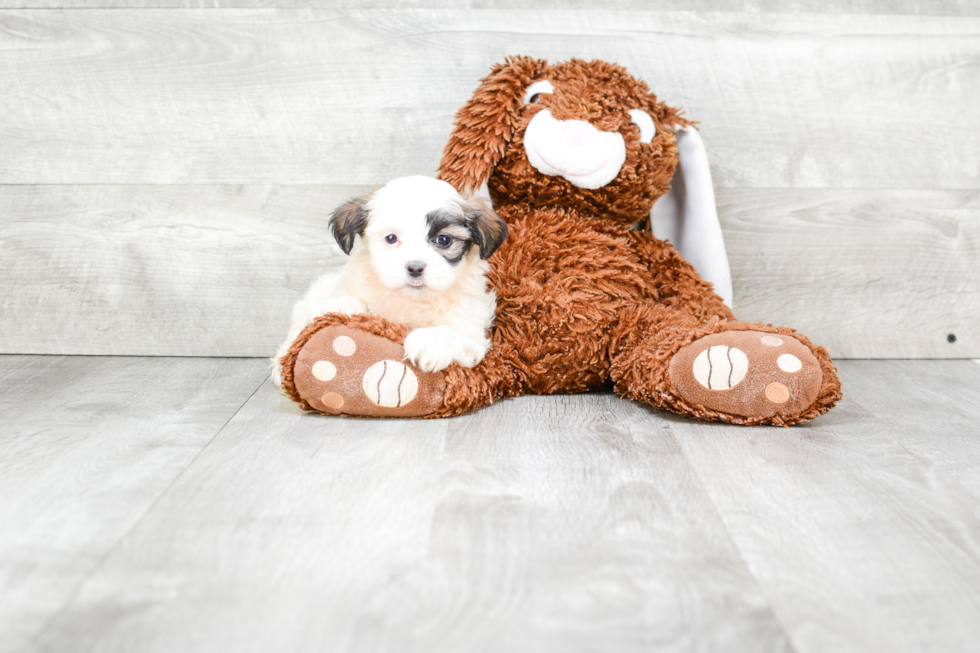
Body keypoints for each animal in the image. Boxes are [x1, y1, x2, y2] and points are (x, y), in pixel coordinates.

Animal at [272, 174, 510, 388]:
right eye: (391, 238)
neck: (411, 300)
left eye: (443, 240)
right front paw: (338, 306)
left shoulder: (473, 324)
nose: (415, 267)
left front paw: (432, 341)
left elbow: (457, 331)